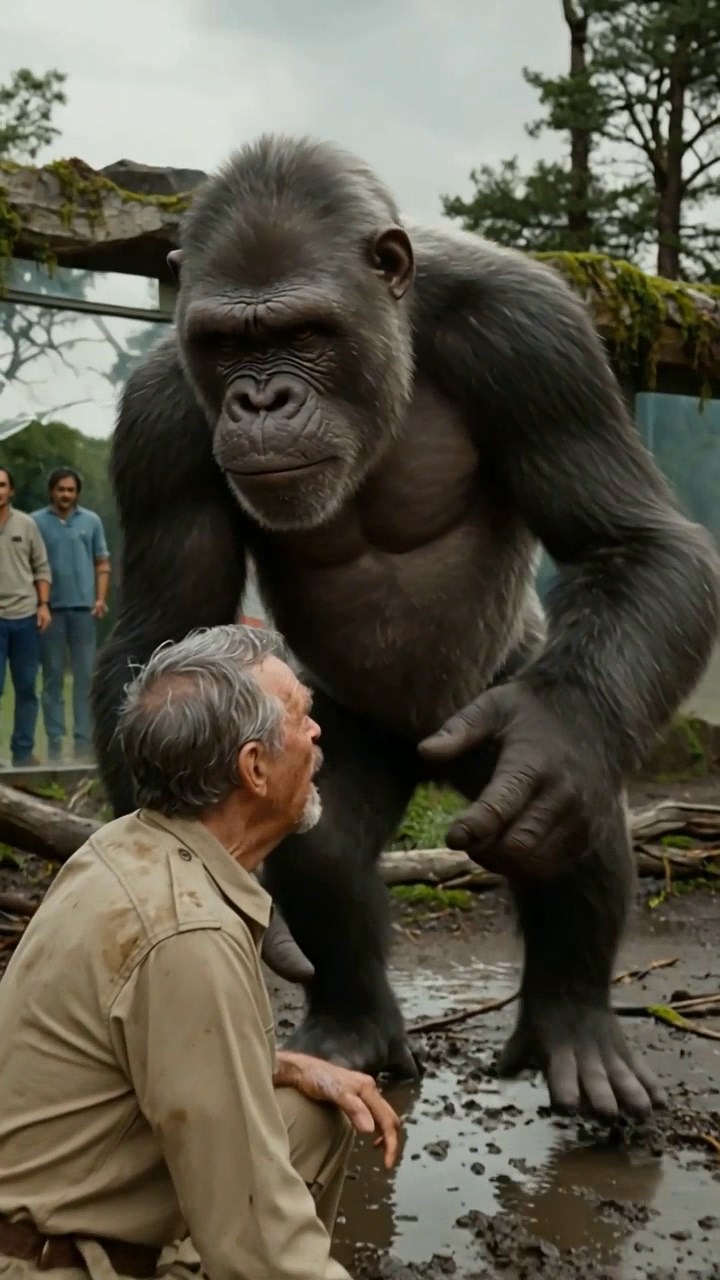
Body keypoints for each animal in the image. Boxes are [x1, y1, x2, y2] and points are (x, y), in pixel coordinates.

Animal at [92, 134, 720, 1121]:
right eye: (229, 344)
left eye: (304, 333)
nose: (260, 400)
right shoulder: (160, 413)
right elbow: (166, 626)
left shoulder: (533, 333)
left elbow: (631, 541)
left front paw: (559, 740)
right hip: (327, 725)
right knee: (326, 842)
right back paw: (356, 1027)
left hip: (500, 686)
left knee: (582, 812)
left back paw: (575, 1028)